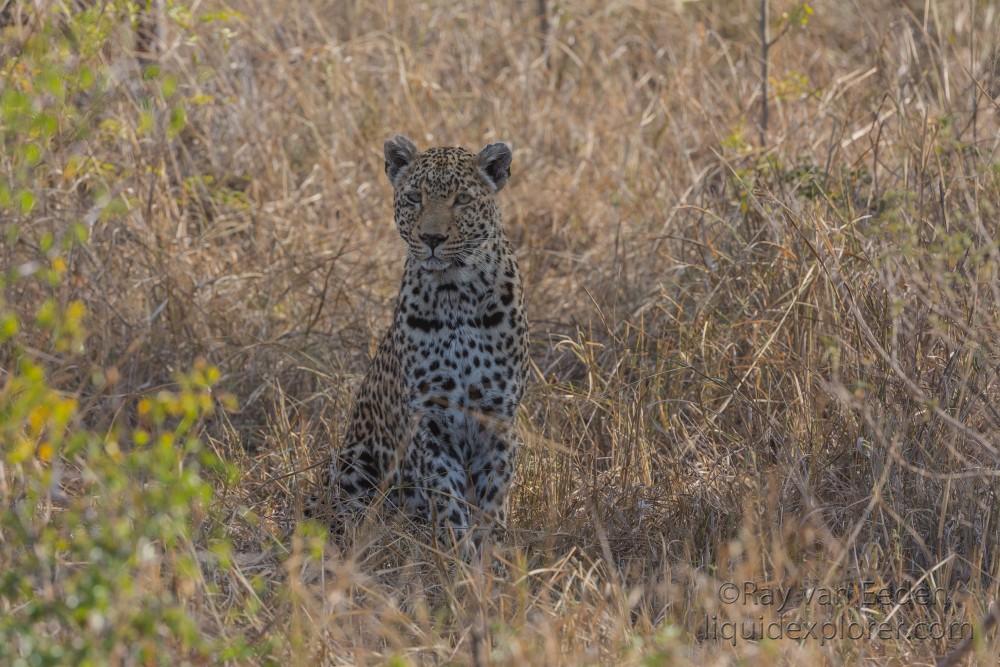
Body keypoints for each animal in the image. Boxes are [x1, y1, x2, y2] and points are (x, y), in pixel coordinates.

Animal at [310, 134, 532, 552]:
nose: (431, 238)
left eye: (462, 199)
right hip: (351, 462)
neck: (456, 295)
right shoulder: (429, 418)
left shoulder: (497, 416)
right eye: (414, 197)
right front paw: (458, 553)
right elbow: (448, 496)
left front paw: (491, 554)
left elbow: (492, 498)